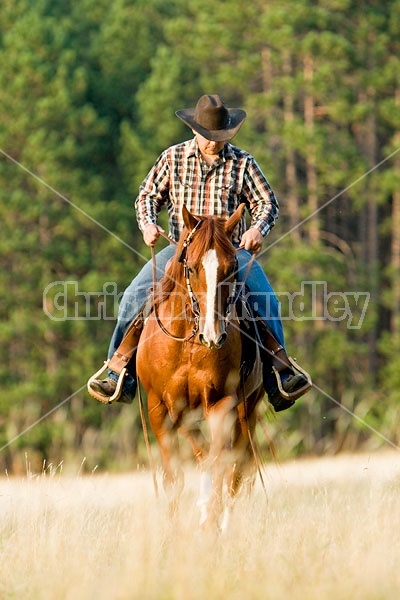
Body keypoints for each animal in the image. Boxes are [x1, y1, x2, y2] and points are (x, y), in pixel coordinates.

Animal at [138, 206, 266, 528]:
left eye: (231, 267)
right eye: (192, 267)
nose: (213, 335)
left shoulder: (221, 405)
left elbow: (218, 463)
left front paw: (209, 519)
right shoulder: (162, 409)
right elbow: (175, 476)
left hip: (248, 410)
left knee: (237, 468)